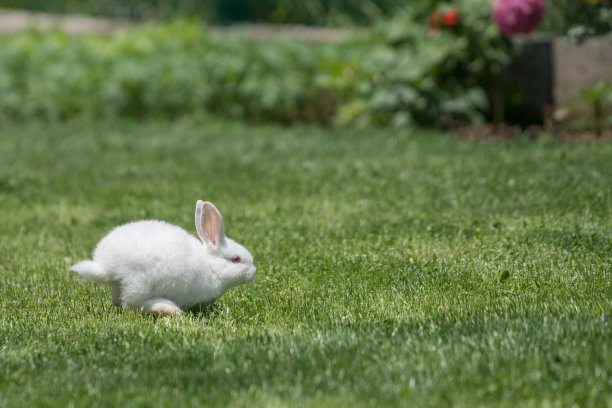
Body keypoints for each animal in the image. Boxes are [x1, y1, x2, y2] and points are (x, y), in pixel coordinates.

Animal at [70, 201, 256, 316]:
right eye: (236, 259)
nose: (254, 272)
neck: (211, 268)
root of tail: (108, 267)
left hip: (119, 287)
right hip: (140, 284)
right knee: (132, 305)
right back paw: (170, 309)